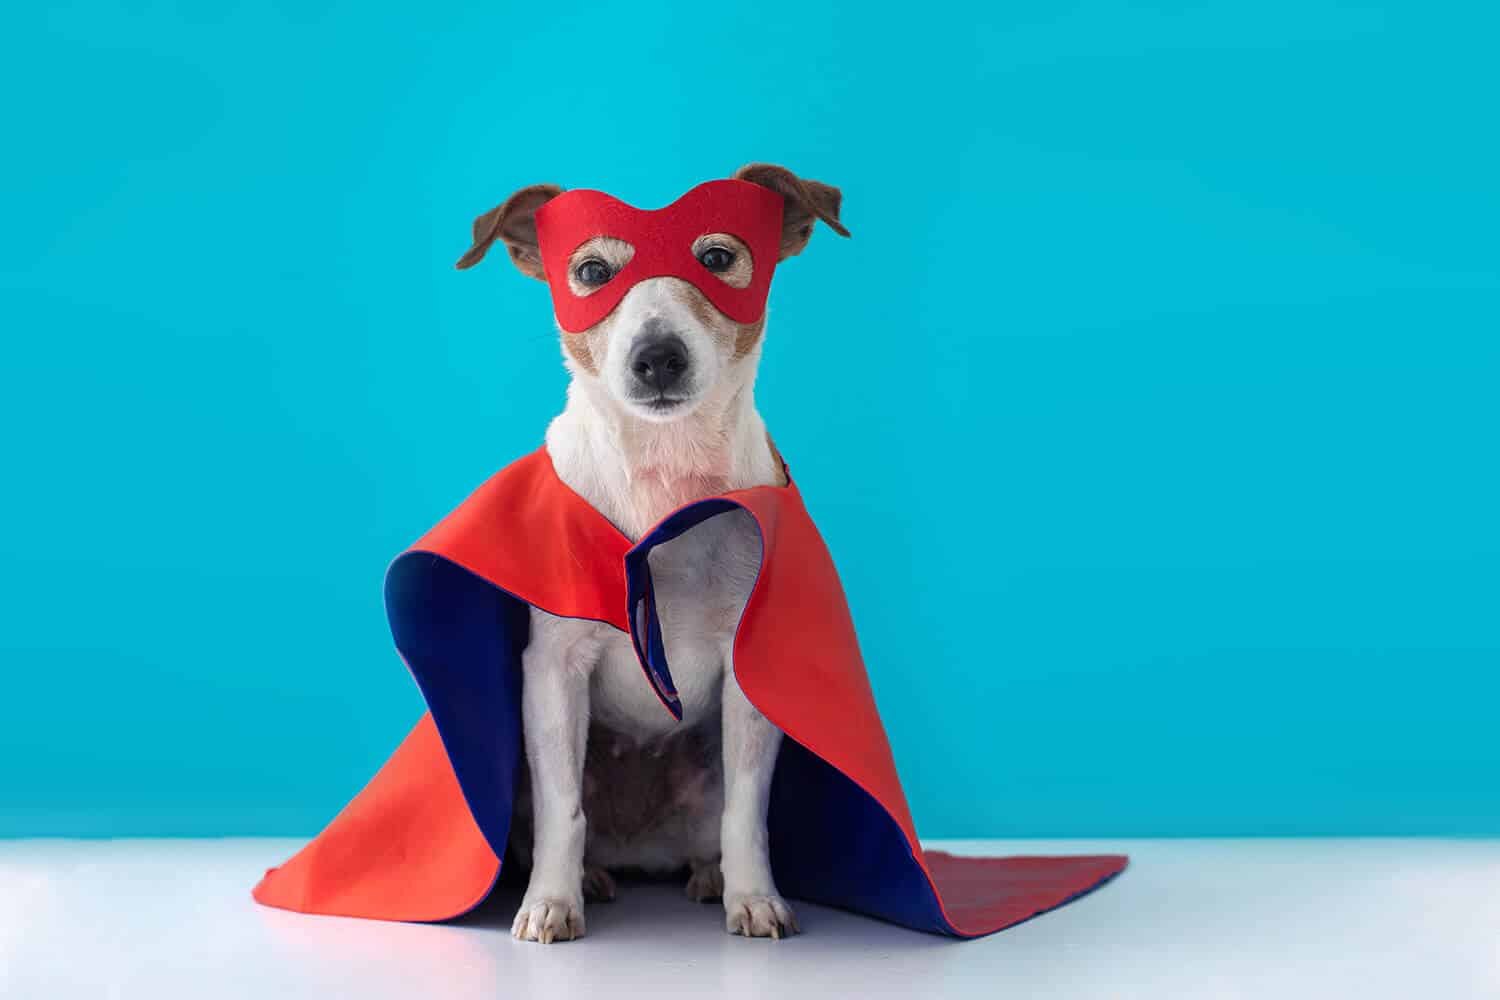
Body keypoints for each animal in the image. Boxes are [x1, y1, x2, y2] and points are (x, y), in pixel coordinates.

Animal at [456, 164, 852, 947]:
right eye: (590, 272)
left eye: (719, 258)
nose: (657, 356)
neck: (663, 480)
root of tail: (640, 848)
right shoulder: (553, 670)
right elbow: (563, 813)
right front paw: (551, 901)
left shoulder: (748, 676)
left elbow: (746, 814)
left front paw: (754, 897)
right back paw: (588, 876)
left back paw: (708, 875)